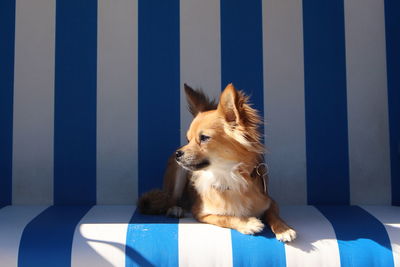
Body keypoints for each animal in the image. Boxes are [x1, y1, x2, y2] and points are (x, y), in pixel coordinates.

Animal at [138, 84, 296, 243]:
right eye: (188, 140)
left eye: (204, 138)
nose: (178, 153)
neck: (228, 175)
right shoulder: (201, 213)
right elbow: (225, 217)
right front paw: (248, 223)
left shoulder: (270, 202)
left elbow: (273, 215)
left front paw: (284, 229)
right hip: (178, 174)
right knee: (171, 199)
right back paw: (175, 209)